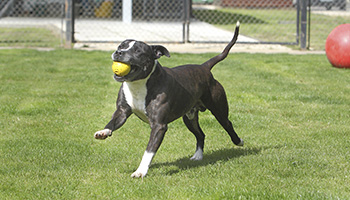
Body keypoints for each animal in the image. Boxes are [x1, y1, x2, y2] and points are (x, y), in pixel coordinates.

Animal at [94, 21, 245, 178]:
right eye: (120, 46)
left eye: (137, 51)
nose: (119, 52)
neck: (138, 84)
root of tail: (204, 67)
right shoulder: (122, 111)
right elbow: (112, 122)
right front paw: (103, 132)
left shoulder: (159, 126)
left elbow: (149, 151)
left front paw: (141, 171)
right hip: (189, 118)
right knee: (200, 134)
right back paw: (198, 156)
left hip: (219, 110)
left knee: (228, 124)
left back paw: (239, 141)